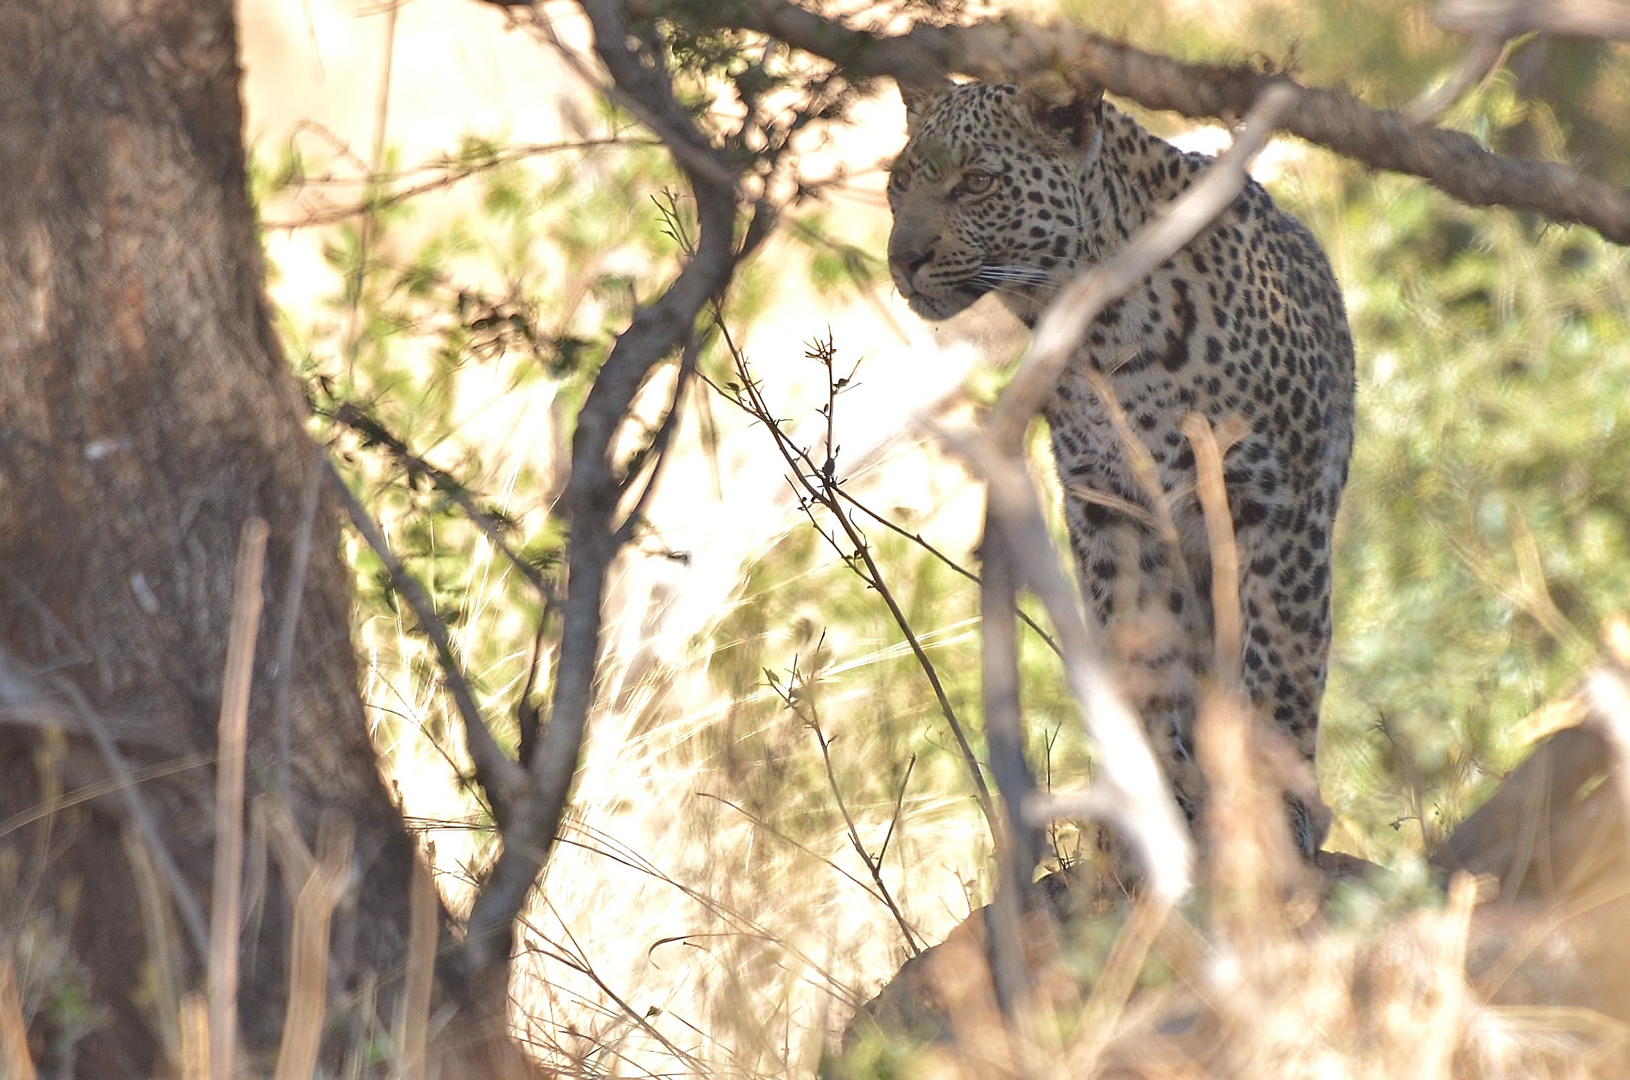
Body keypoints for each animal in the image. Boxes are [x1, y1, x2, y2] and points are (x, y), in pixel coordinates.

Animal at [886, 76, 1356, 860]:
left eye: (976, 182)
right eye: (898, 184)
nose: (904, 259)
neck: (1107, 332)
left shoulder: (1274, 497)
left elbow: (1281, 655)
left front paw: (1276, 808)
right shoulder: (1110, 506)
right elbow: (1141, 656)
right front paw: (1164, 803)